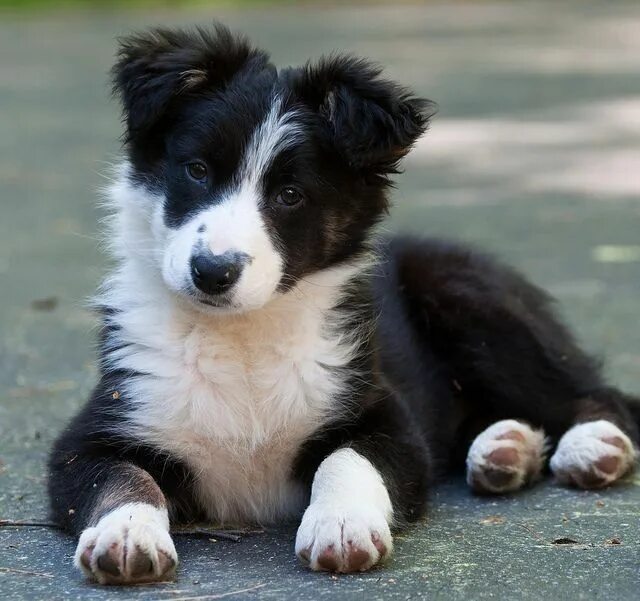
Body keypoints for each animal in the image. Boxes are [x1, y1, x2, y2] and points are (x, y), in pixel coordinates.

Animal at [50, 23, 640, 580]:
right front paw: (126, 533)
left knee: (595, 392)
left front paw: (341, 525)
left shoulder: (385, 417)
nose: (212, 271)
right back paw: (506, 449)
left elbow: (345, 458)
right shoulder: (96, 433)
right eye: (196, 170)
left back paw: (591, 446)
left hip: (467, 294)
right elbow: (124, 478)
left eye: (290, 195)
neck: (242, 337)